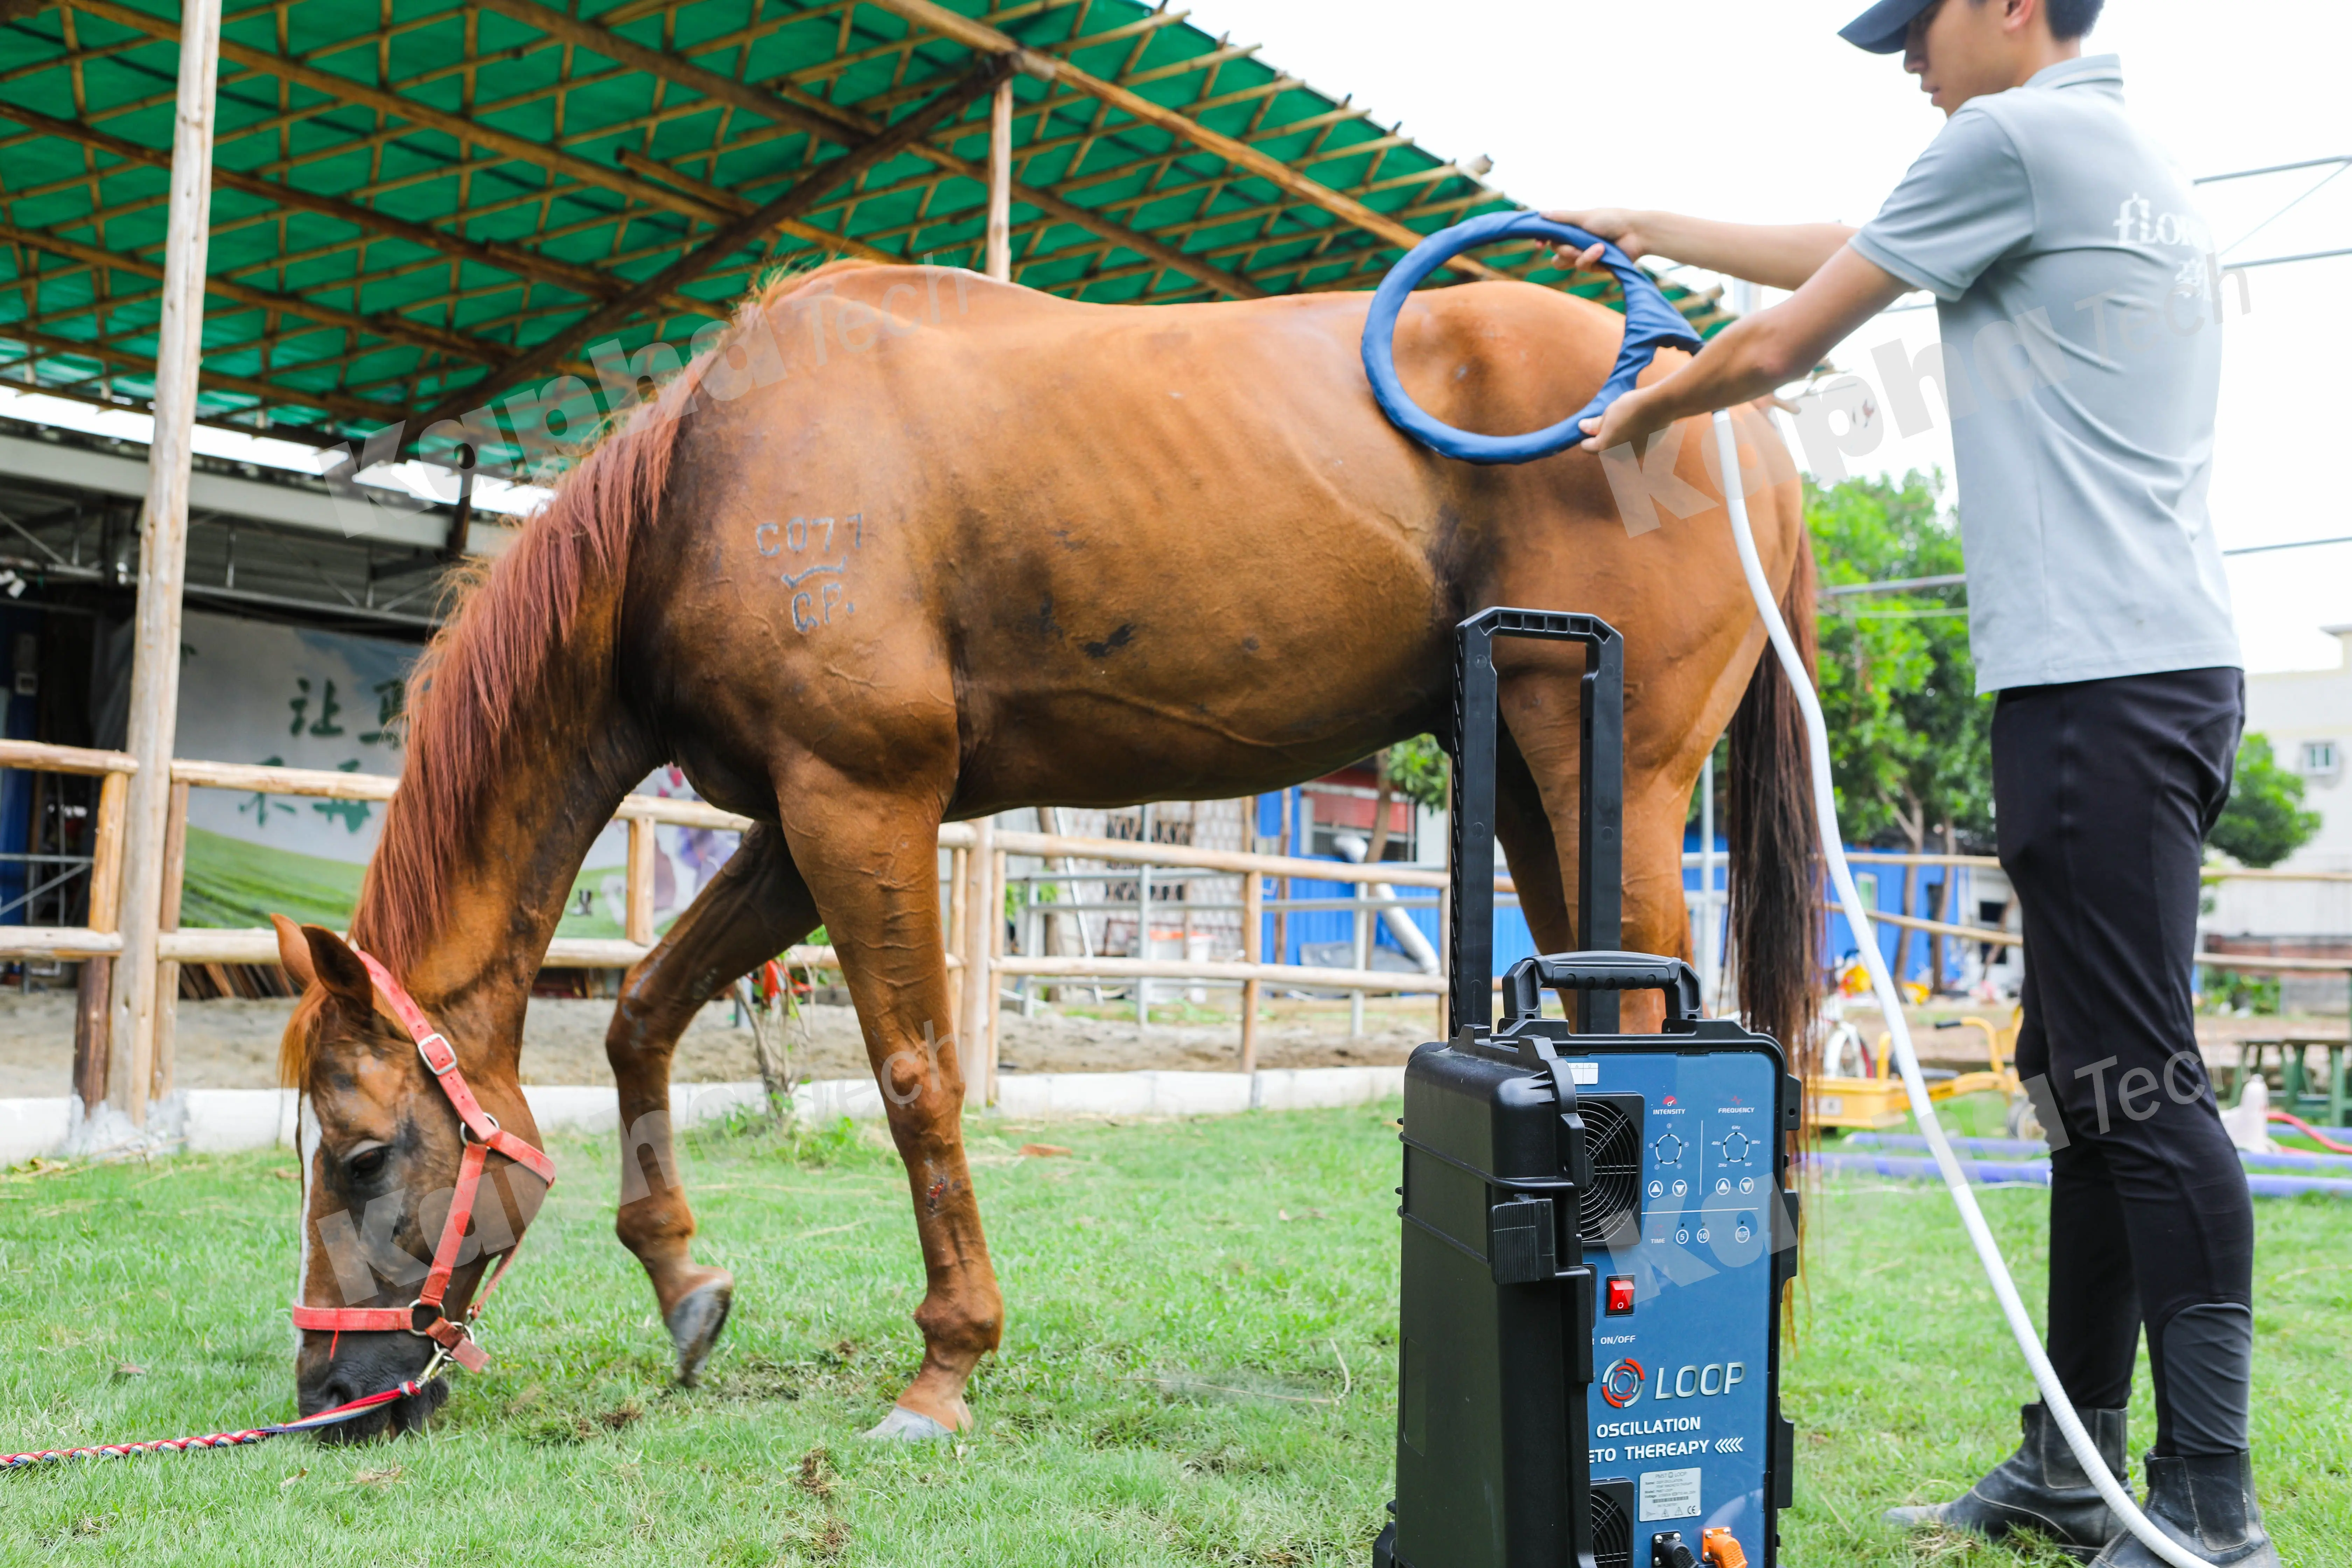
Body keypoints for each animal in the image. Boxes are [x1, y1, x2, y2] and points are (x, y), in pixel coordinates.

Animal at [273, 258, 1820, 1442]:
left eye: (358, 1156)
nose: (331, 1393)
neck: (704, 487)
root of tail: (1726, 402)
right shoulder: (797, 822)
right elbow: (643, 1013)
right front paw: (682, 1281)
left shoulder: (858, 800)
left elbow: (914, 1081)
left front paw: (943, 1368)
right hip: (1546, 795)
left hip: (1608, 776)